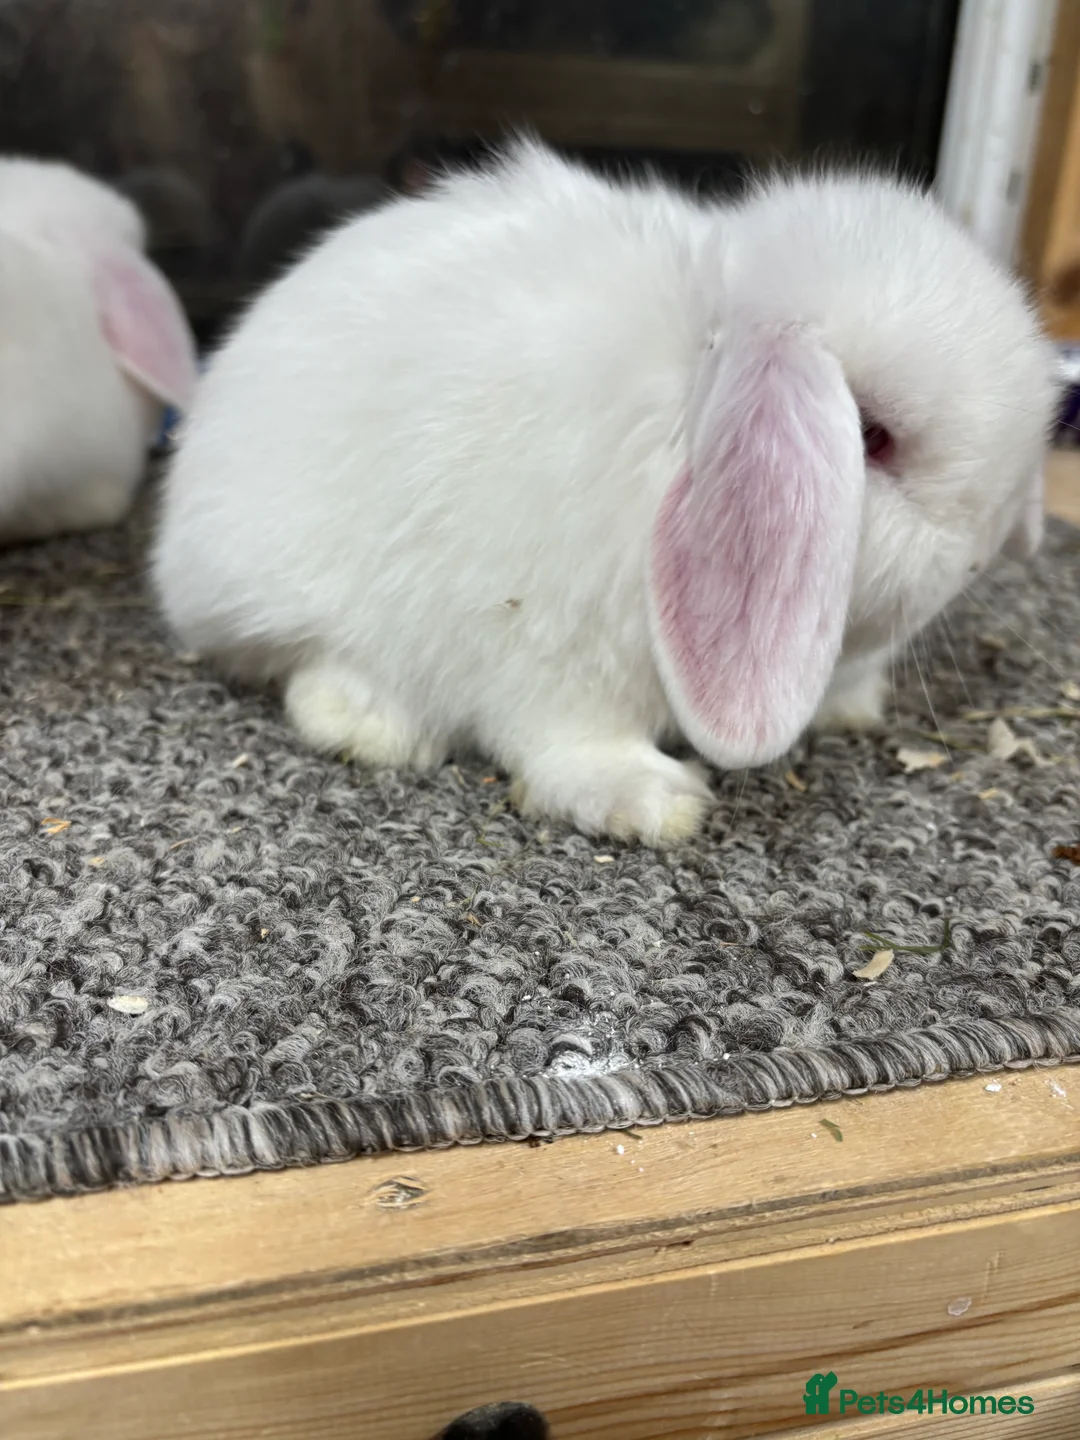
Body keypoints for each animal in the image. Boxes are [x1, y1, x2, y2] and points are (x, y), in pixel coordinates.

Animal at [152, 140, 1057, 844]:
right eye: (872, 437)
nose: (994, 548)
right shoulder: (548, 654)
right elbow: (568, 742)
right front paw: (655, 803)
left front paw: (855, 705)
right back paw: (375, 727)